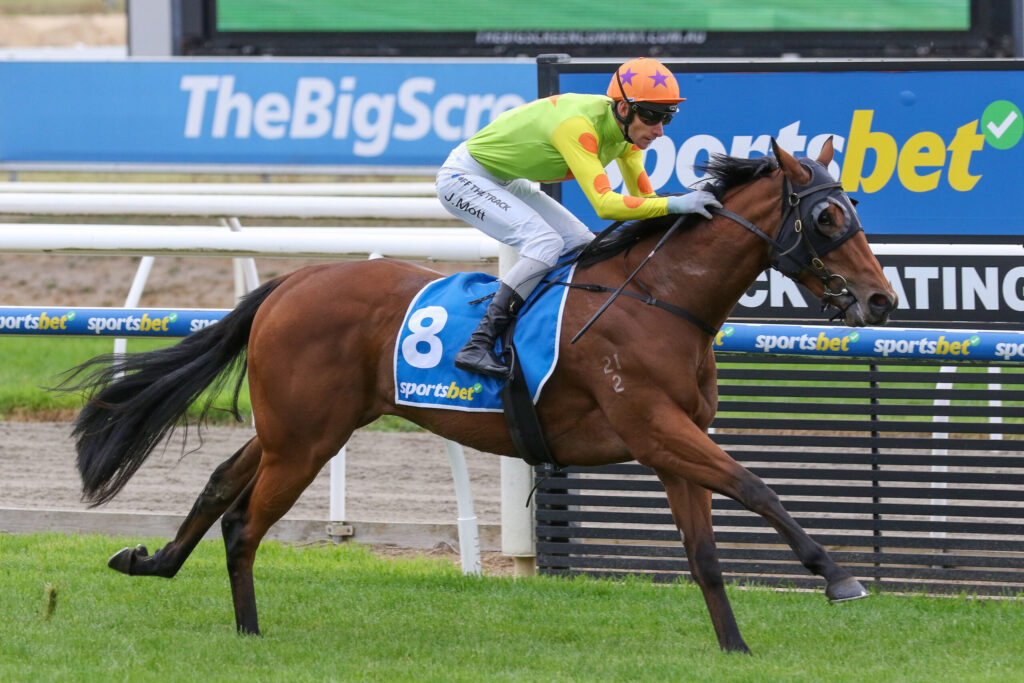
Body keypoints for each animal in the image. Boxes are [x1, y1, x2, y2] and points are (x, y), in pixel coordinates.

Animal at [64, 138, 897, 654]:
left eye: (855, 209)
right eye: (828, 215)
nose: (882, 298)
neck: (662, 297)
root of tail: (290, 282)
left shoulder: (670, 443)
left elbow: (705, 554)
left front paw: (735, 645)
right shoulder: (654, 426)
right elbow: (756, 485)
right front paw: (838, 574)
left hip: (292, 427)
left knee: (218, 484)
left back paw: (152, 563)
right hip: (305, 438)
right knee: (244, 521)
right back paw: (247, 630)